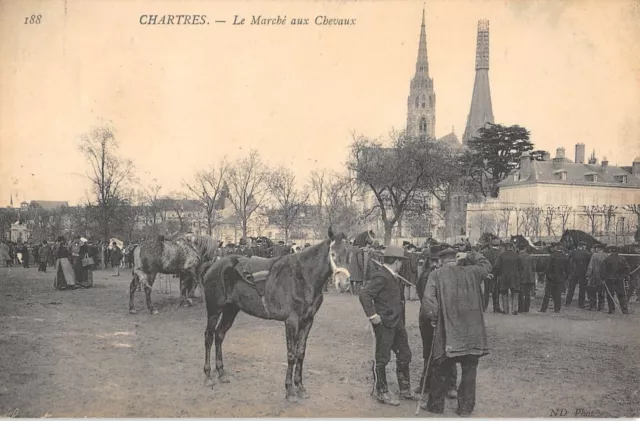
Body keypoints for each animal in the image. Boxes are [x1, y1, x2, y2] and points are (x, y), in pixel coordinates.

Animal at [201, 228, 348, 402]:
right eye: (333, 253)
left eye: (349, 253)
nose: (343, 283)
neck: (303, 277)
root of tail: (214, 265)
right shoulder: (291, 322)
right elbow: (291, 354)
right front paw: (290, 390)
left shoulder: (308, 321)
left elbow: (301, 353)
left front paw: (300, 387)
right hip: (214, 309)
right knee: (209, 337)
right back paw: (208, 376)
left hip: (231, 310)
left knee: (219, 335)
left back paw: (222, 373)